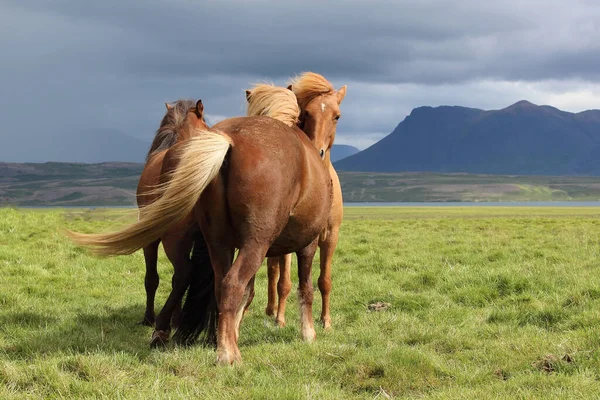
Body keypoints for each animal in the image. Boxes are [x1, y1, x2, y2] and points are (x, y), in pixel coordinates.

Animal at [65, 76, 346, 366]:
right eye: (310, 114)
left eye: (335, 116)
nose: (320, 151)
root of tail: (229, 142)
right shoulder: (307, 242)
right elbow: (305, 287)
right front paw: (308, 333)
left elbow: (249, 292)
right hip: (251, 243)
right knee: (227, 282)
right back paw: (225, 353)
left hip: (215, 240)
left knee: (215, 284)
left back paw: (207, 338)